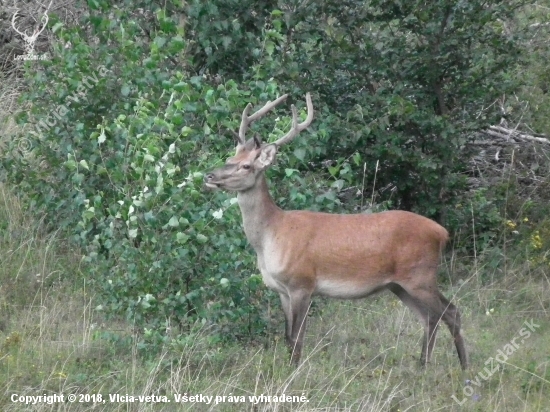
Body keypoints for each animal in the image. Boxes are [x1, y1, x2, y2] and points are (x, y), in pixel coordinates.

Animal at [204, 92, 470, 370]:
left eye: (246, 166)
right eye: (230, 159)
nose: (209, 176)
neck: (271, 235)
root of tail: (442, 232)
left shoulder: (302, 283)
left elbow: (297, 337)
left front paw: (294, 371)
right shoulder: (282, 290)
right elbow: (288, 337)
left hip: (420, 275)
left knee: (451, 312)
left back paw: (463, 367)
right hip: (399, 285)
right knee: (430, 317)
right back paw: (423, 366)